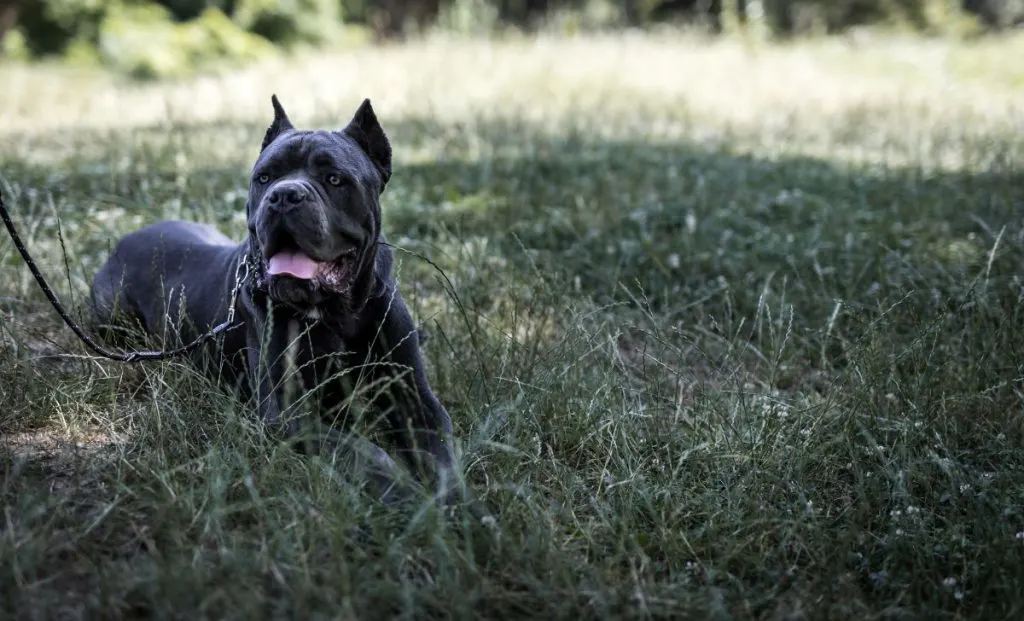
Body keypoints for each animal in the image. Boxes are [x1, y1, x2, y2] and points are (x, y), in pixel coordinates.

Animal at [92, 96, 460, 506]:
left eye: (335, 179)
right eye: (264, 178)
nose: (284, 195)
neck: (336, 313)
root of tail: (126, 239)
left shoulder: (416, 398)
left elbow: (441, 455)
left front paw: (458, 506)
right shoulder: (287, 413)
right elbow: (362, 452)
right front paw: (405, 494)